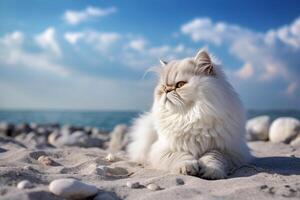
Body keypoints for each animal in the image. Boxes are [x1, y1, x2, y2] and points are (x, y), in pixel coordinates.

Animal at [126, 48, 251, 180]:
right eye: (163, 87)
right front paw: (187, 167)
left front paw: (211, 171)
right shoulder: (162, 150)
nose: (167, 90)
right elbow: (180, 156)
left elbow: (214, 157)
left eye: (180, 85)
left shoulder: (230, 151)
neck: (189, 116)